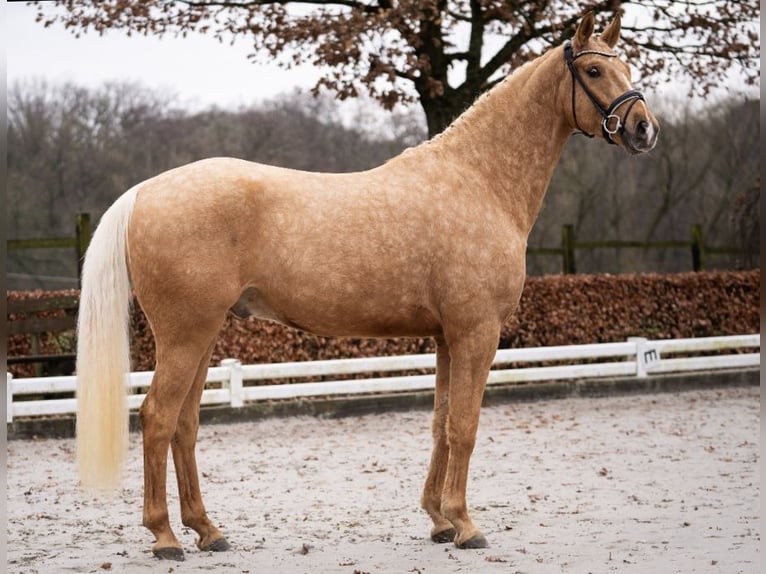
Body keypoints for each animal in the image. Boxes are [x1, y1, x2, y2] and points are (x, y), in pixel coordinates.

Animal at [76, 12, 660, 564]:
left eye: (628, 66)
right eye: (594, 70)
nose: (644, 129)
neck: (478, 181)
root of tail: (145, 191)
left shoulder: (447, 336)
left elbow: (441, 422)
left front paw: (439, 520)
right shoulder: (477, 332)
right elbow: (465, 426)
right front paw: (465, 525)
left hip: (203, 334)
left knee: (184, 424)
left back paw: (207, 531)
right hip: (185, 334)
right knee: (157, 417)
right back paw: (165, 537)